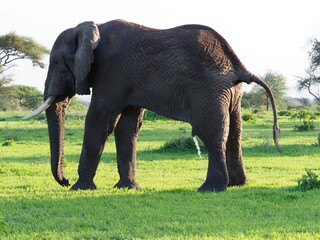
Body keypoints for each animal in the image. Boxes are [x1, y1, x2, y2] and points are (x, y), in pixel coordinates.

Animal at [25, 19, 280, 192]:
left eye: (56, 63)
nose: (64, 179)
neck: (92, 26)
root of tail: (239, 67)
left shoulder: (110, 72)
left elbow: (100, 119)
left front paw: (79, 188)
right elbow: (127, 125)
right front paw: (127, 187)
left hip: (208, 90)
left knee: (211, 133)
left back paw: (209, 189)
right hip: (231, 94)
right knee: (235, 134)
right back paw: (237, 184)